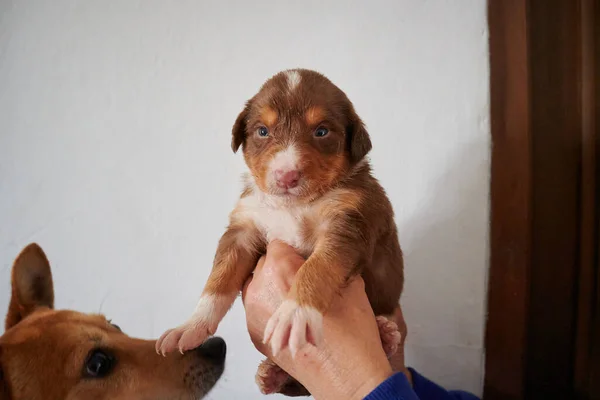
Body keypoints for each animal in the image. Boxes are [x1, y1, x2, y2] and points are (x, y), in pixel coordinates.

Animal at [157, 69, 406, 394]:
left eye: (322, 132)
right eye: (262, 131)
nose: (286, 176)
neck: (293, 206)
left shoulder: (348, 225)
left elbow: (318, 268)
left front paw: (294, 314)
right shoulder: (243, 229)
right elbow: (218, 280)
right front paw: (190, 327)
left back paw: (386, 334)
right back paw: (272, 374)